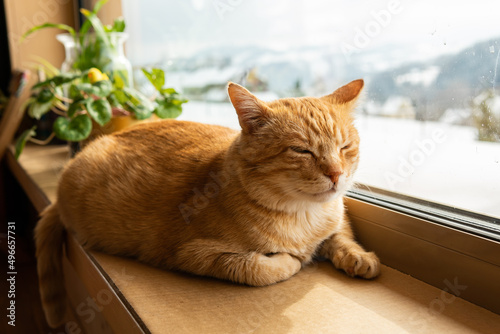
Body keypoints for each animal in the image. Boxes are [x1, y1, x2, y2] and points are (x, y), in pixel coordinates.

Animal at [35, 79, 378, 328]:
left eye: (345, 147)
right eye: (301, 150)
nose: (336, 174)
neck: (305, 216)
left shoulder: (337, 216)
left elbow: (342, 234)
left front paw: (357, 255)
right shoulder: (194, 254)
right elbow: (258, 268)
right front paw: (294, 260)